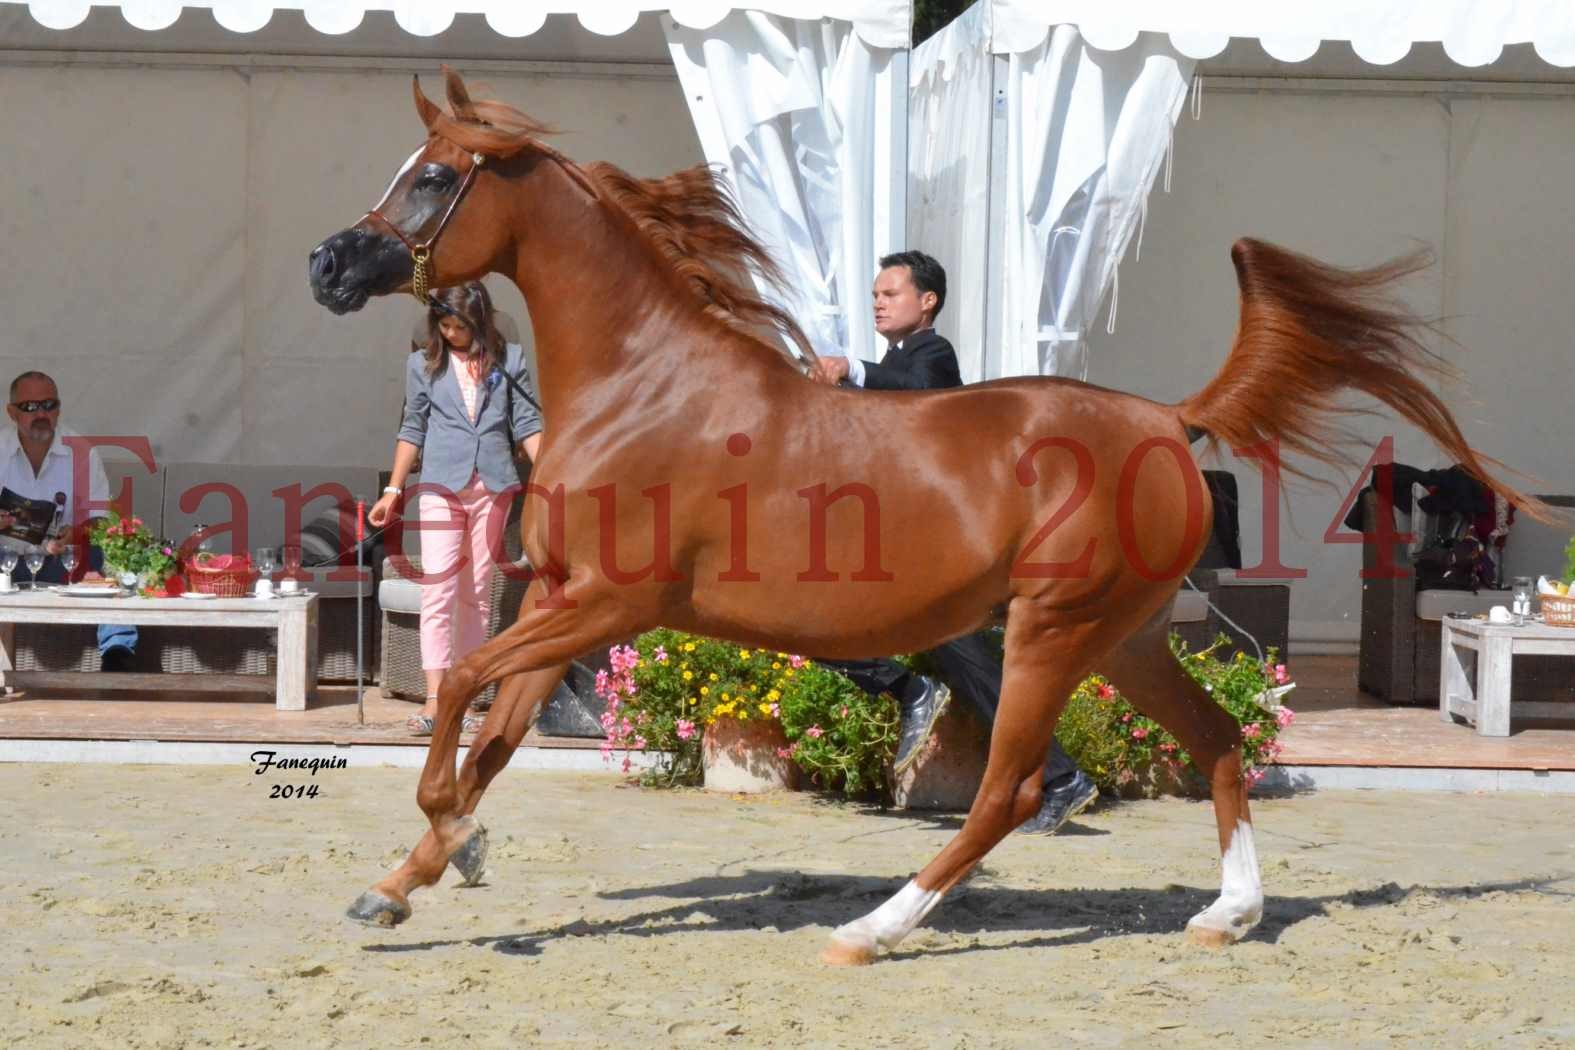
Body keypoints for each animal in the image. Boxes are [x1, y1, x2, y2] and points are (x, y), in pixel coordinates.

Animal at [303, 69, 1537, 963]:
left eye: (433, 178)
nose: (326, 265)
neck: (644, 384)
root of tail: (1167, 421)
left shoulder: (610, 604)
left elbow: (458, 691)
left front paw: (451, 841)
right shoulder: (564, 604)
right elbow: (494, 732)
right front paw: (406, 881)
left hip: (1050, 632)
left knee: (1009, 790)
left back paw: (872, 929)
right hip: (1125, 637)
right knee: (1222, 745)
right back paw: (1226, 917)